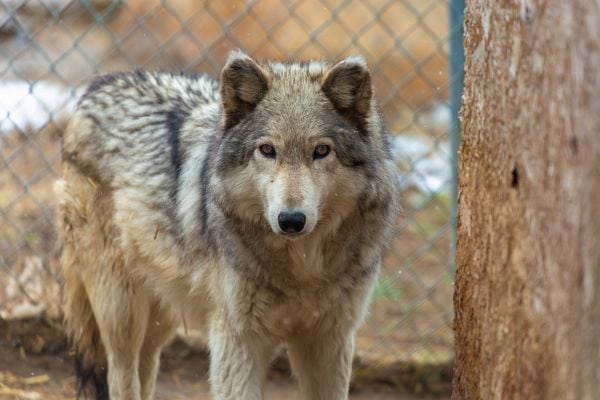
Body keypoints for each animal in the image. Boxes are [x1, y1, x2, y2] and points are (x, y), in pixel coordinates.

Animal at [56, 50, 400, 400]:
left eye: (321, 151)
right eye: (267, 150)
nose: (291, 220)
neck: (301, 269)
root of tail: (99, 86)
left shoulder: (329, 340)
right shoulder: (237, 338)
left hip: (161, 315)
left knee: (146, 367)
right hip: (121, 311)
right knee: (119, 374)